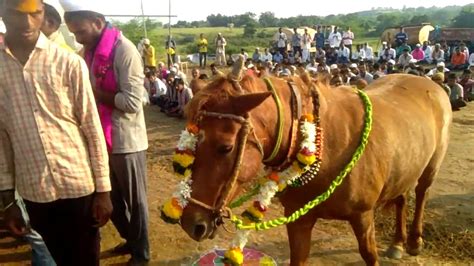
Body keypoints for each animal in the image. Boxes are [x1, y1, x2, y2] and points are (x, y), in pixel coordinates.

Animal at [179, 57, 452, 264]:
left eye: (225, 147)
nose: (192, 223)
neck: (326, 145)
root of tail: (429, 83)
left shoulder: (363, 217)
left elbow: (369, 255)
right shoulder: (298, 221)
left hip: (430, 167)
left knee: (422, 193)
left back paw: (414, 240)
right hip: (405, 165)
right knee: (402, 198)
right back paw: (397, 242)